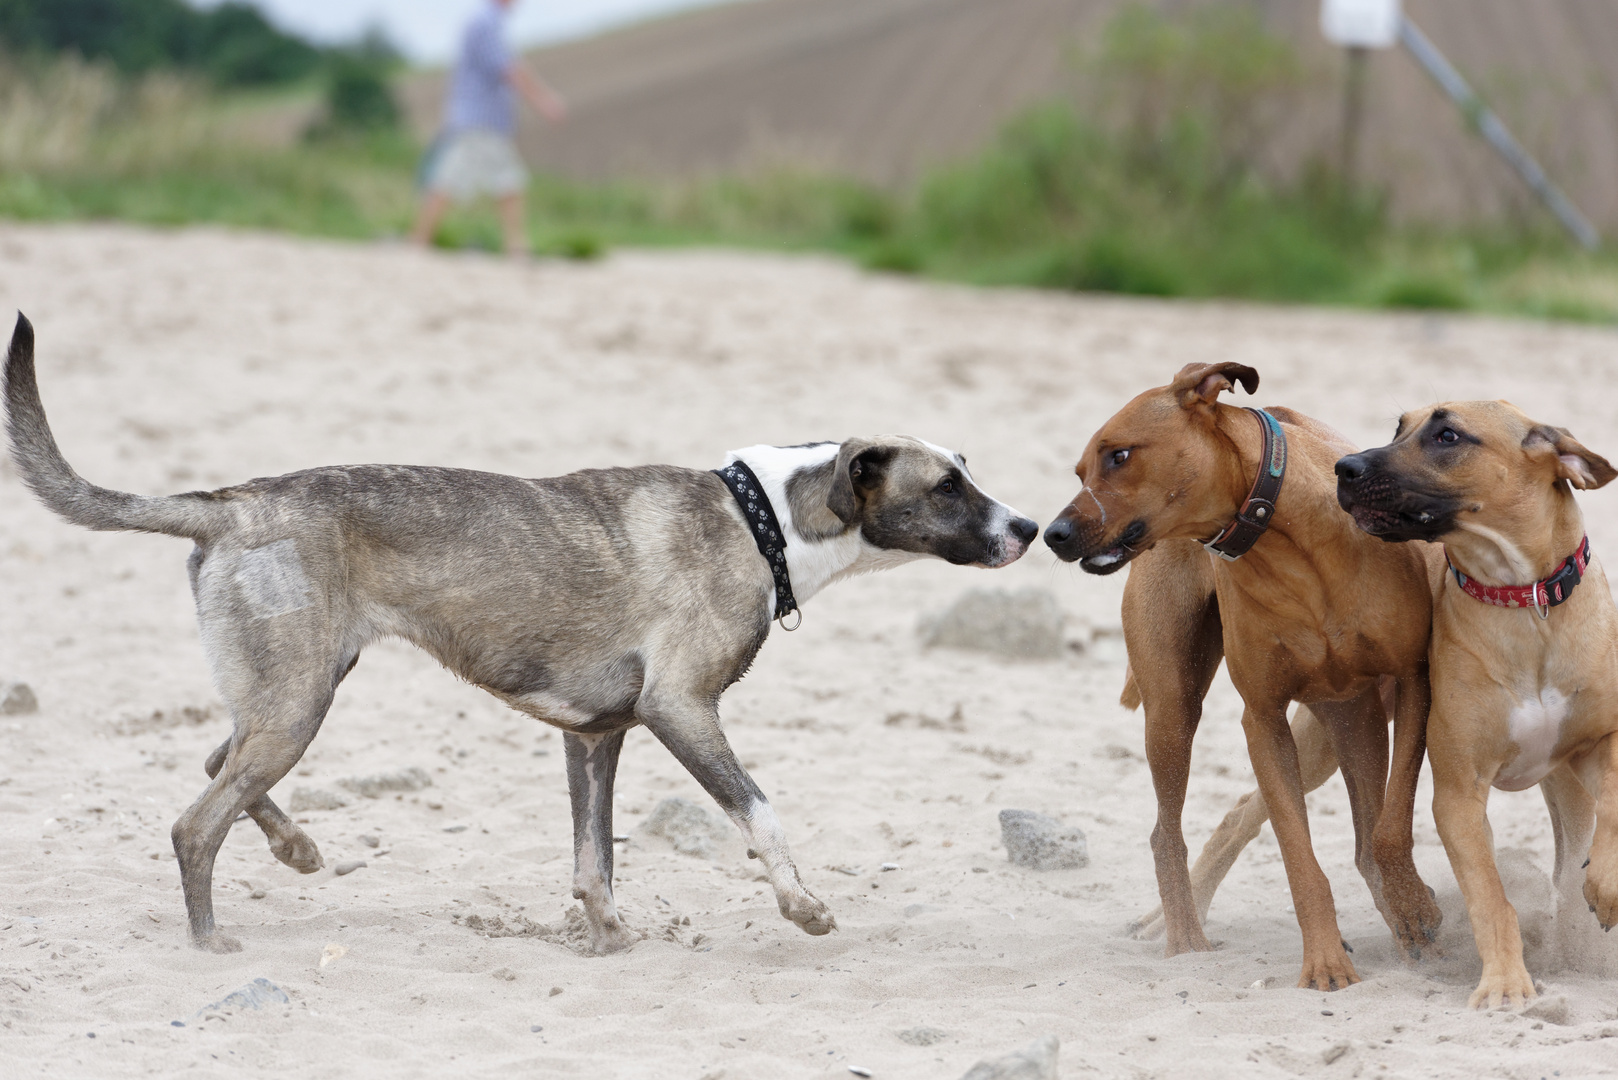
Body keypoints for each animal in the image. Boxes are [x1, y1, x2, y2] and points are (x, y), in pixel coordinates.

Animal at [1041, 362, 1449, 990]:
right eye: (1081, 470)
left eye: (1118, 455)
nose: (1052, 534)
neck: (1289, 536)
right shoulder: (1264, 720)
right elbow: (1300, 860)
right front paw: (1325, 964)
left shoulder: (1410, 683)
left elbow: (1389, 828)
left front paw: (1413, 909)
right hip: (1176, 709)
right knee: (1166, 833)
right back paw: (1184, 940)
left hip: (1348, 719)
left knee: (1364, 840)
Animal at [1339, 401, 1618, 1010]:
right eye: (1398, 428)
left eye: (1448, 436)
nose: (1343, 467)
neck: (1522, 598)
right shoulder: (1459, 795)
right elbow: (1491, 897)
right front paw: (1504, 983)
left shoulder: (1600, 741)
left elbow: (1612, 802)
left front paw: (1606, 885)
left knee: (1570, 857)